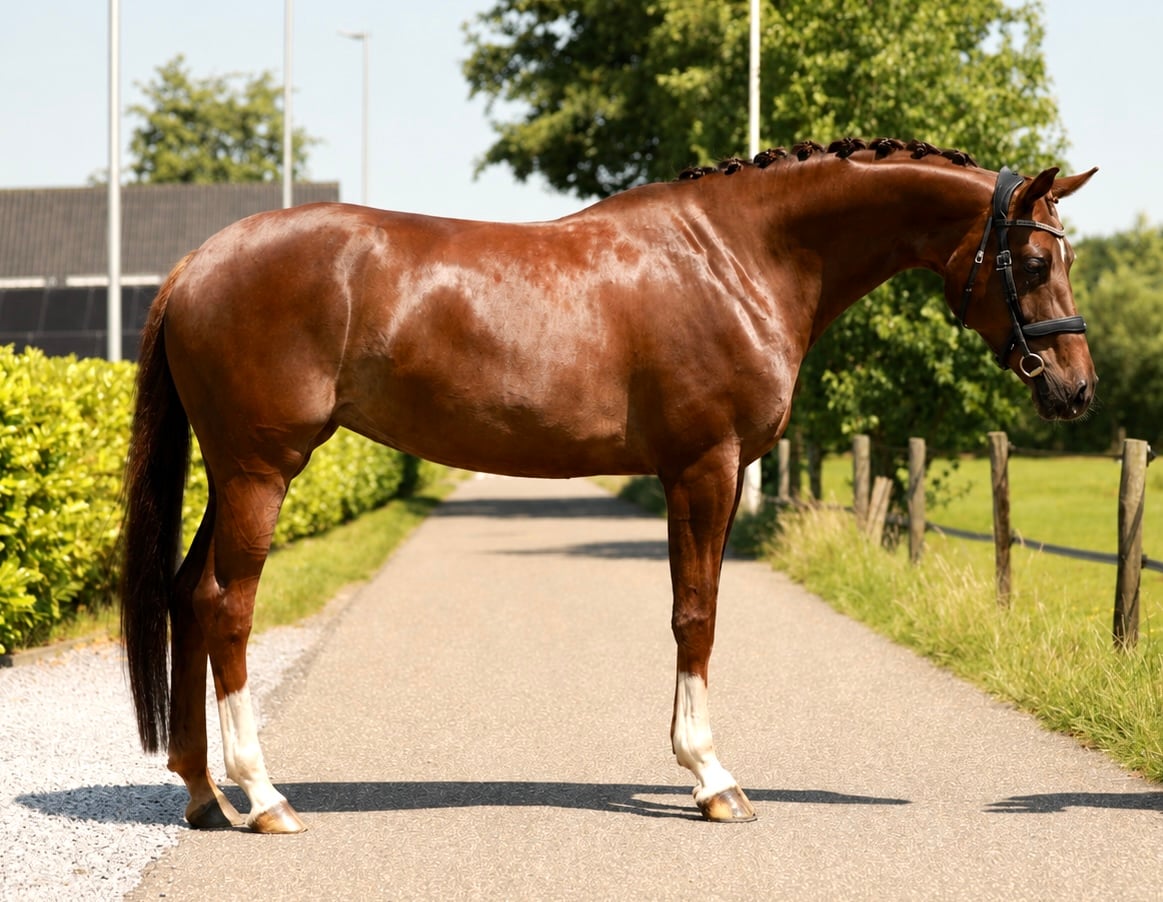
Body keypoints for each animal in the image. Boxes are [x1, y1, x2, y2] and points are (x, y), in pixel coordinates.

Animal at [120, 137, 1097, 833]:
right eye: (1033, 264)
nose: (1076, 390)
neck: (738, 258)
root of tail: (198, 263)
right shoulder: (704, 466)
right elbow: (696, 614)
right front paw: (711, 779)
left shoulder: (693, 473)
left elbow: (691, 609)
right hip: (260, 470)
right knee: (227, 607)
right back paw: (264, 797)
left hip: (233, 473)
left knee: (187, 596)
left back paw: (204, 795)